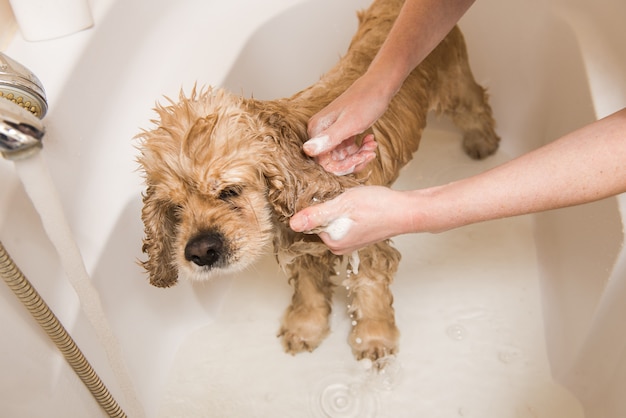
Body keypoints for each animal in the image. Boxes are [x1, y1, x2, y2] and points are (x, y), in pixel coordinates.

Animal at [136, 0, 498, 366]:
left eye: (229, 191)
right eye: (175, 209)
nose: (200, 252)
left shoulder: (366, 240)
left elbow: (370, 289)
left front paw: (374, 339)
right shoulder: (302, 249)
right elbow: (309, 289)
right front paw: (304, 329)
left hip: (456, 85)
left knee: (476, 106)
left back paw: (482, 143)